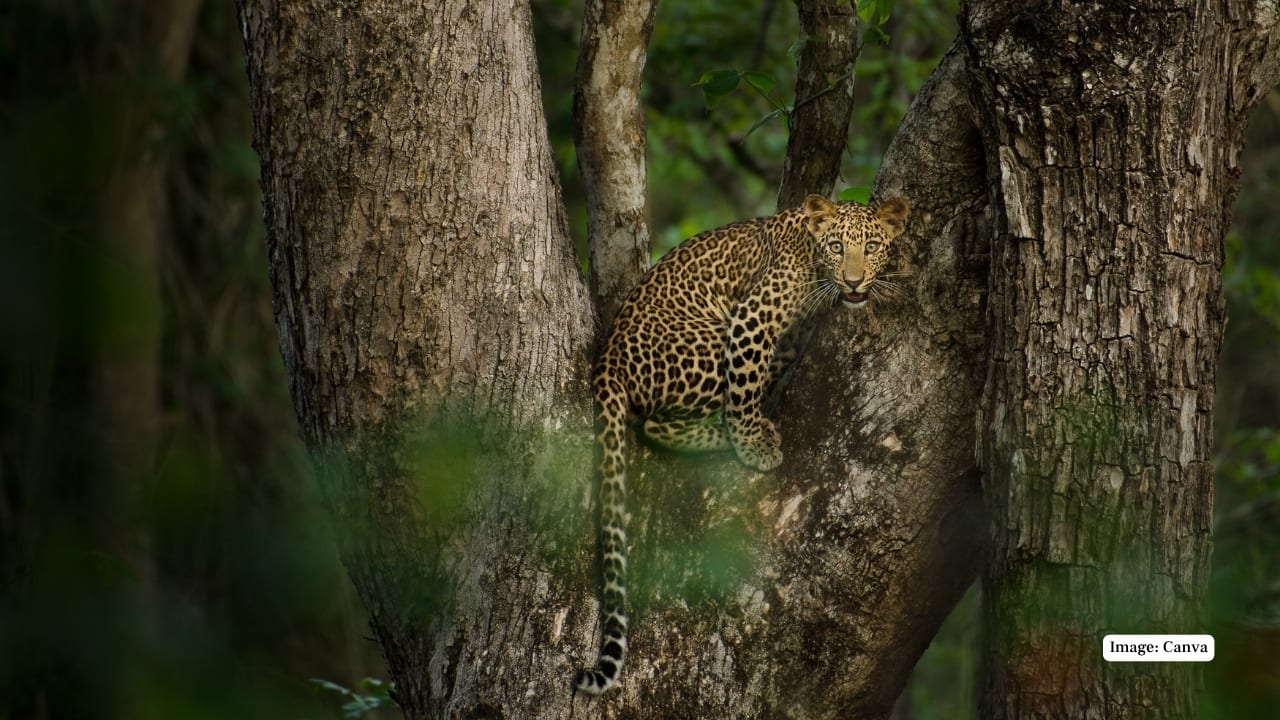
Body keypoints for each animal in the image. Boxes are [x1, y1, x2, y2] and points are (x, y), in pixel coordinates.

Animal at [572, 193, 909, 695]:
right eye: (836, 246)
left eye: (870, 247)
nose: (852, 281)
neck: (813, 262)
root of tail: (608, 361)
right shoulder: (753, 319)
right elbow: (746, 383)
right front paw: (752, 442)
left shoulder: (791, 337)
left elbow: (767, 374)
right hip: (707, 341)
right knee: (654, 425)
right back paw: (728, 433)